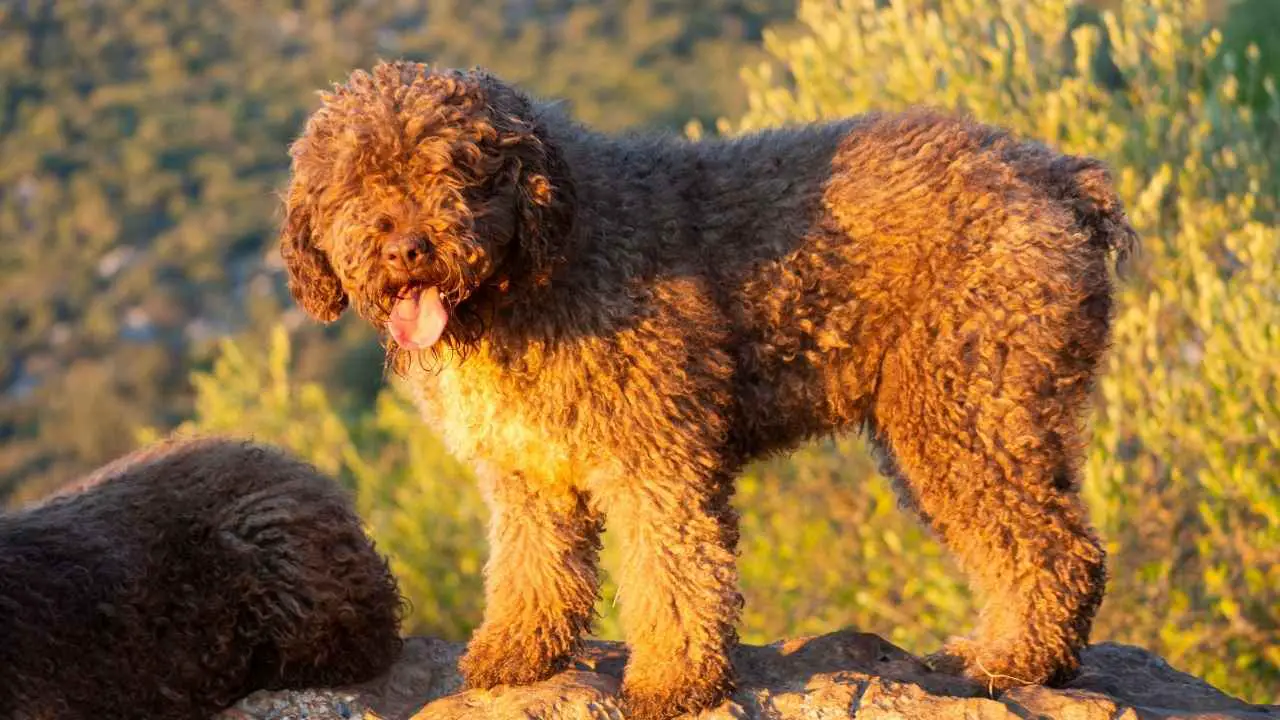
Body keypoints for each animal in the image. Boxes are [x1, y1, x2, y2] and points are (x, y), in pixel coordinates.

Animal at [277, 63, 1131, 717]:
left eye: (457, 168)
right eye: (354, 184)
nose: (407, 248)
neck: (535, 271)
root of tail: (1060, 177)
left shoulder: (657, 455)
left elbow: (674, 574)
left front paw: (671, 680)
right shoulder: (529, 473)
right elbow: (533, 570)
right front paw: (517, 656)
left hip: (968, 408)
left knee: (1058, 549)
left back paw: (1012, 659)